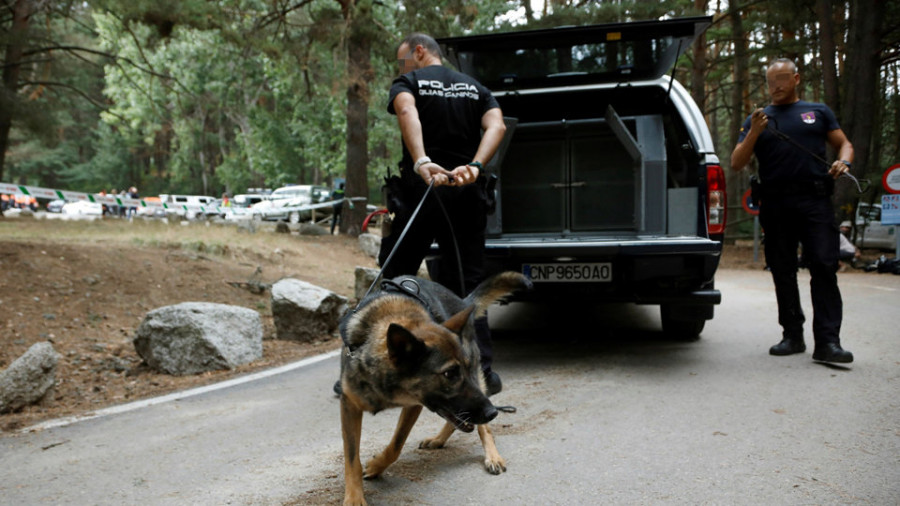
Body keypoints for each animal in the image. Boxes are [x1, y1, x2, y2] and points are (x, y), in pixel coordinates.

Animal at [342, 272, 532, 506]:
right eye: (449, 374)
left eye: (465, 368)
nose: (493, 413)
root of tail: (462, 303)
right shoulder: (349, 406)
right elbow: (352, 458)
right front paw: (354, 496)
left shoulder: (414, 405)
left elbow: (396, 444)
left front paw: (377, 466)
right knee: (458, 421)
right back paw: (439, 439)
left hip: (478, 387)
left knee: (481, 427)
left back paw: (492, 456)